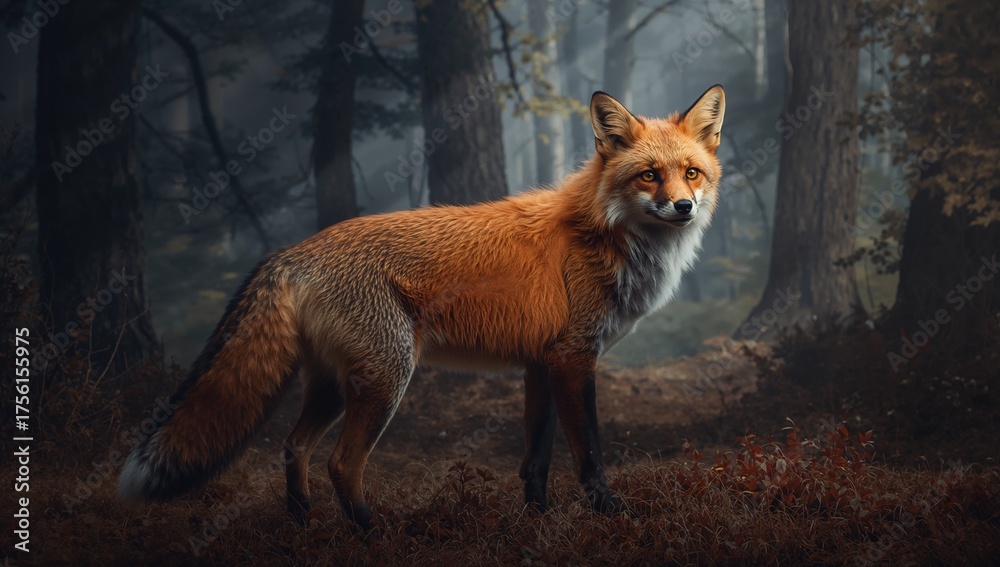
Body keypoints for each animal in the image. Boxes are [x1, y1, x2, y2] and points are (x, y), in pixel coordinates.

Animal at [119, 86, 726, 530]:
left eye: (691, 173)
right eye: (649, 175)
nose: (683, 206)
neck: (602, 232)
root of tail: (294, 252)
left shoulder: (541, 362)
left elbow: (535, 459)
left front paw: (535, 519)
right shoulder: (574, 358)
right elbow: (591, 454)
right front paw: (611, 514)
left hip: (334, 383)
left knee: (294, 448)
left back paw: (301, 523)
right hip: (388, 376)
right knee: (342, 462)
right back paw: (370, 530)